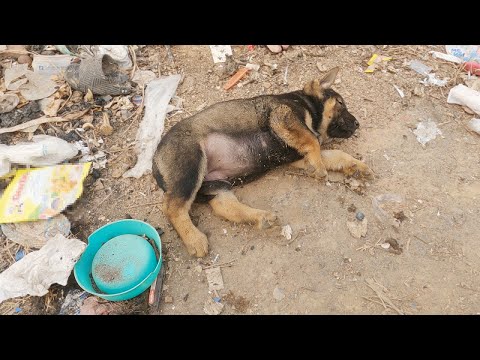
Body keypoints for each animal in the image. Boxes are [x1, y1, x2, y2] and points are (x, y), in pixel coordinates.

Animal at [153, 67, 372, 258]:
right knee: (172, 208)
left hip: (215, 185)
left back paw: (261, 218)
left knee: (224, 206)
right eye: (340, 103)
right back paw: (194, 239)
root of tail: (155, 160)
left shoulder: (297, 153)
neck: (307, 104)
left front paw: (356, 166)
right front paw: (318, 167)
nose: (357, 124)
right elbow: (312, 141)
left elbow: (334, 153)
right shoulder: (283, 115)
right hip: (191, 166)